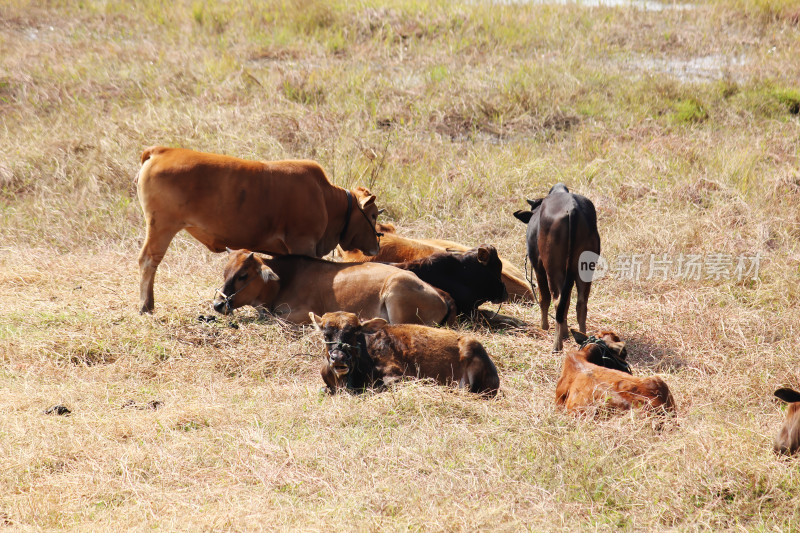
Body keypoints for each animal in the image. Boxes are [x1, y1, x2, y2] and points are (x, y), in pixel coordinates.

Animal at [137, 145, 382, 312]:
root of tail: (161, 151)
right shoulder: (303, 243)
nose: (377, 247)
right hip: (162, 227)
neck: (324, 196)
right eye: (373, 214)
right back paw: (146, 306)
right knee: (148, 261)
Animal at [212, 248, 454, 324]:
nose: (217, 304)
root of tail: (442, 295)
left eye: (243, 275)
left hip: (396, 291)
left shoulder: (302, 314)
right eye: (225, 273)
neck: (285, 280)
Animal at [512, 181, 600, 352]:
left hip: (552, 269)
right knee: (580, 303)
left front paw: (544, 327)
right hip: (584, 269)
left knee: (557, 301)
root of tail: (572, 209)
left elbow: (544, 298)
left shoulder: (538, 267)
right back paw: (583, 338)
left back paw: (557, 344)